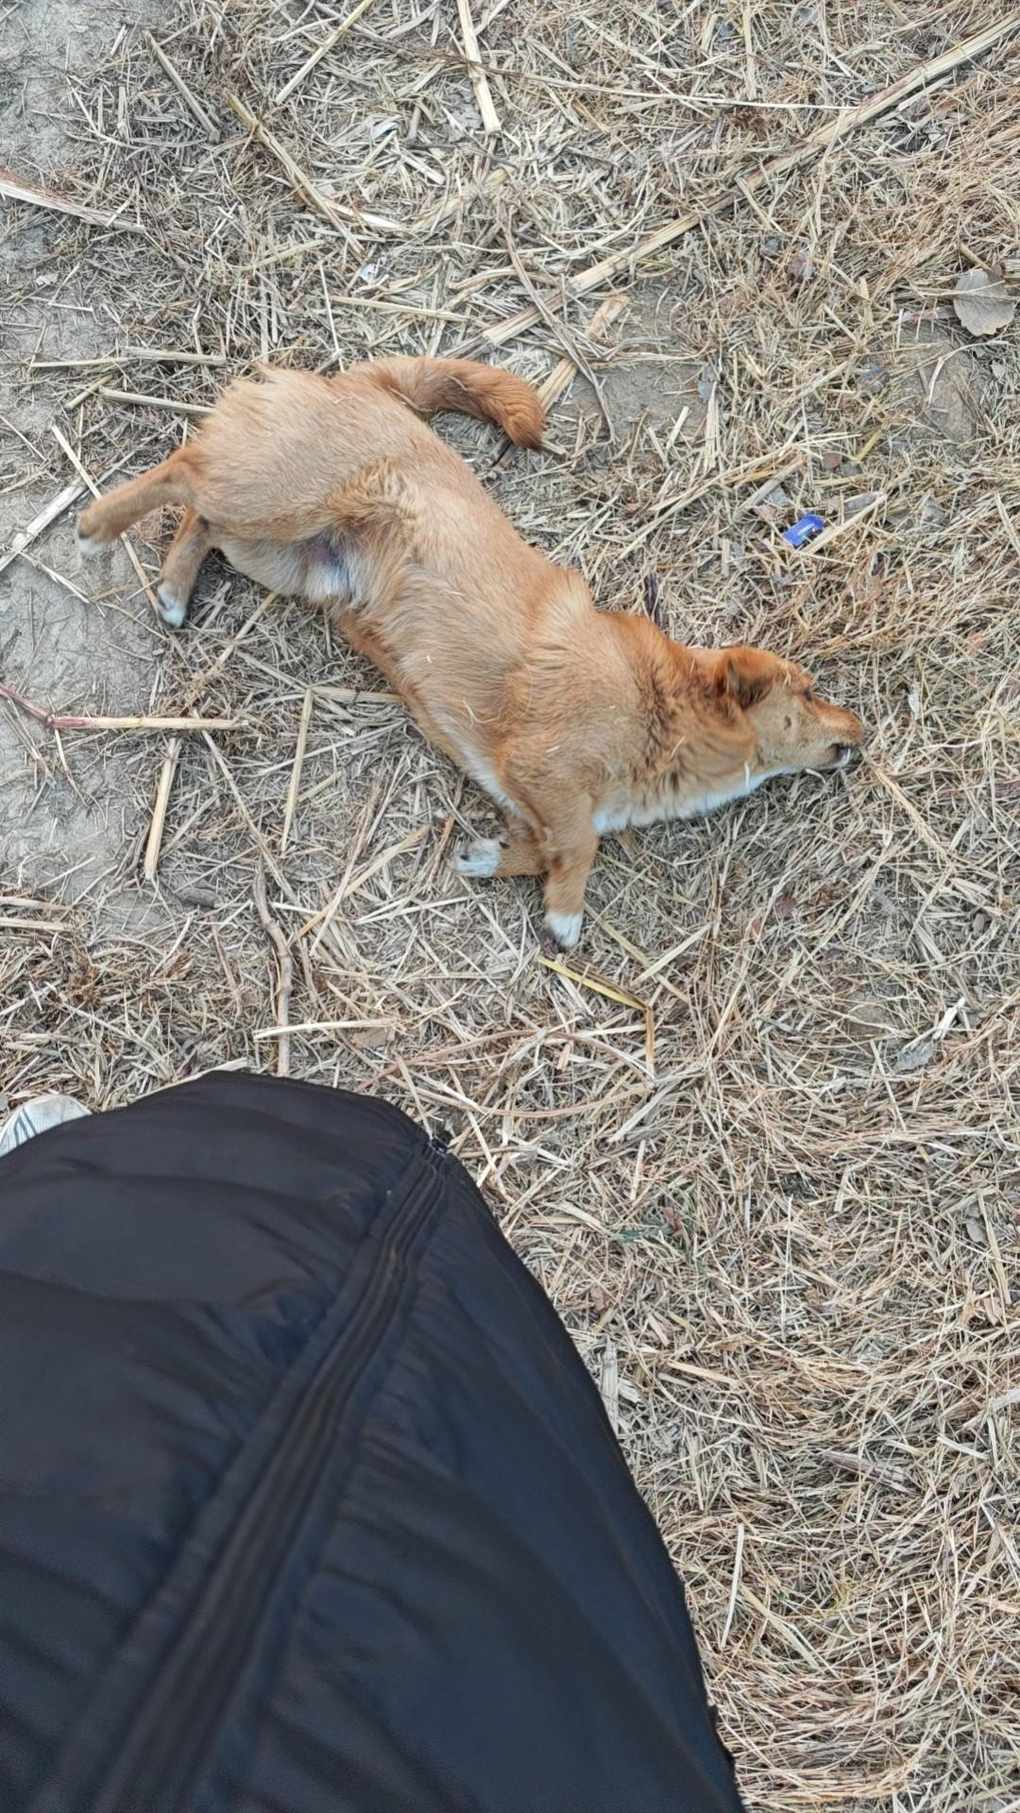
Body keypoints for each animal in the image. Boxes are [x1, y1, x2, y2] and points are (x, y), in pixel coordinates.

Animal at [78, 356, 863, 948]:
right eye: (811, 691)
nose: (862, 729)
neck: (662, 707)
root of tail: (369, 383)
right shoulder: (545, 766)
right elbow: (580, 845)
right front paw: (566, 912)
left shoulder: (526, 792)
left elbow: (544, 845)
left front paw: (491, 857)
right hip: (281, 500)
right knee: (184, 468)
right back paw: (97, 522)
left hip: (281, 557)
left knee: (201, 518)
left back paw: (174, 587)